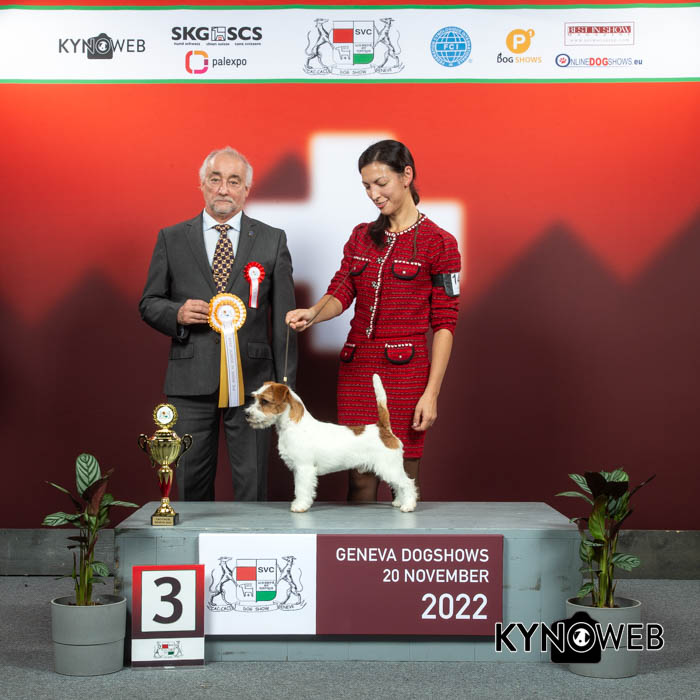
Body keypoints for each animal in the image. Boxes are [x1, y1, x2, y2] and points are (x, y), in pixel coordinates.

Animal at [245, 374, 418, 513]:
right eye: (254, 398)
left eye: (265, 401)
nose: (246, 413)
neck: (294, 425)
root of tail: (383, 428)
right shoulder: (297, 469)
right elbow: (297, 488)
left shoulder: (304, 468)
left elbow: (302, 489)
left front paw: (300, 506)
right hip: (389, 468)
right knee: (398, 485)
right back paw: (399, 502)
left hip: (389, 467)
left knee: (407, 483)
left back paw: (408, 506)